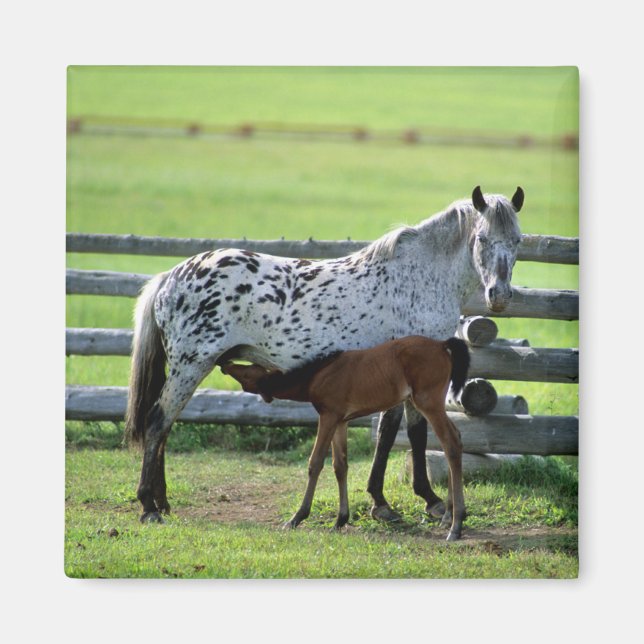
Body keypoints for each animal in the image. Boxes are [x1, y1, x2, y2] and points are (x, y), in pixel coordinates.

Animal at [221, 335, 471, 541]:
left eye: (247, 373)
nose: (224, 363)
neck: (320, 374)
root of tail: (442, 345)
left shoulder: (328, 416)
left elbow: (315, 462)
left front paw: (297, 517)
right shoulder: (340, 421)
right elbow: (340, 465)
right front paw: (340, 519)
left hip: (428, 402)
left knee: (451, 441)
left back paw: (455, 525)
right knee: (455, 438)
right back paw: (449, 516)